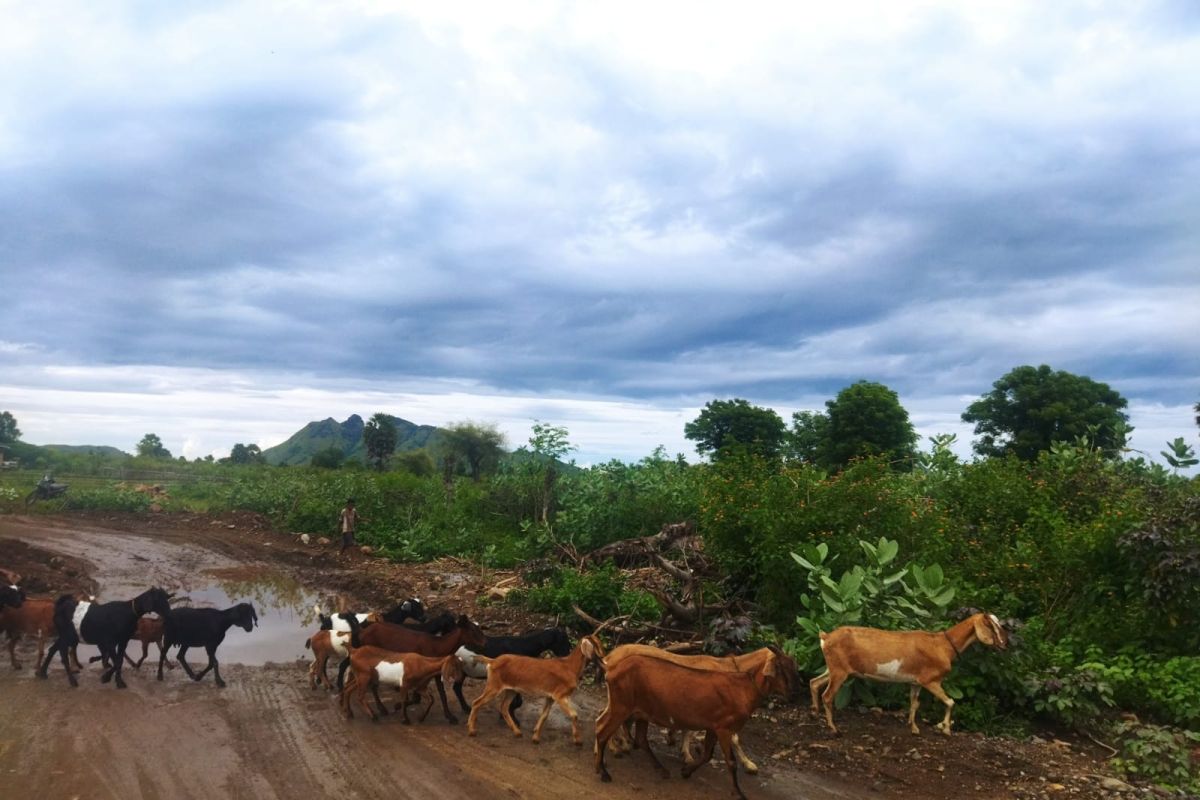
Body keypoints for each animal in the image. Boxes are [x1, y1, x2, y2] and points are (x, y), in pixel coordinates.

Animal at [36, 585, 171, 690]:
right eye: (158, 600)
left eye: (166, 598)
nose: (168, 613)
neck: (128, 612)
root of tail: (61, 606)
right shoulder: (110, 642)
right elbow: (117, 661)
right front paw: (106, 678)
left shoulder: (123, 641)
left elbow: (119, 661)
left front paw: (118, 681)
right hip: (66, 635)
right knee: (62, 653)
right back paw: (72, 680)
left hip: (67, 635)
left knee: (53, 649)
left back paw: (43, 672)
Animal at [465, 633, 604, 748]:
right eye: (597, 644)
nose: (604, 656)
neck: (570, 667)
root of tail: (493, 661)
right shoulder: (560, 695)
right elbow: (574, 715)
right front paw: (578, 741)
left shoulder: (550, 696)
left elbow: (544, 715)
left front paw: (535, 737)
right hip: (494, 686)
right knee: (476, 702)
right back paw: (471, 730)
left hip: (510, 690)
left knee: (504, 707)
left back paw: (517, 732)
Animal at [592, 647, 796, 796]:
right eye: (782, 668)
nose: (795, 693)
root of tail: (610, 663)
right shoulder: (722, 726)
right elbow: (730, 755)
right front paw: (739, 788)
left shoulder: (712, 725)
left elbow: (707, 752)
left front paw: (686, 767)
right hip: (621, 706)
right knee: (602, 728)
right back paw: (605, 765)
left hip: (639, 711)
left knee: (626, 731)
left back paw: (646, 760)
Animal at [811, 614, 1008, 738]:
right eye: (991, 625)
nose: (1004, 644)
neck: (943, 645)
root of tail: (826, 637)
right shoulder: (930, 680)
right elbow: (951, 701)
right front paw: (946, 730)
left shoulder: (916, 682)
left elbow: (914, 704)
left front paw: (913, 728)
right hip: (839, 671)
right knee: (827, 695)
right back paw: (834, 729)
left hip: (834, 668)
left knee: (814, 682)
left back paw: (815, 711)